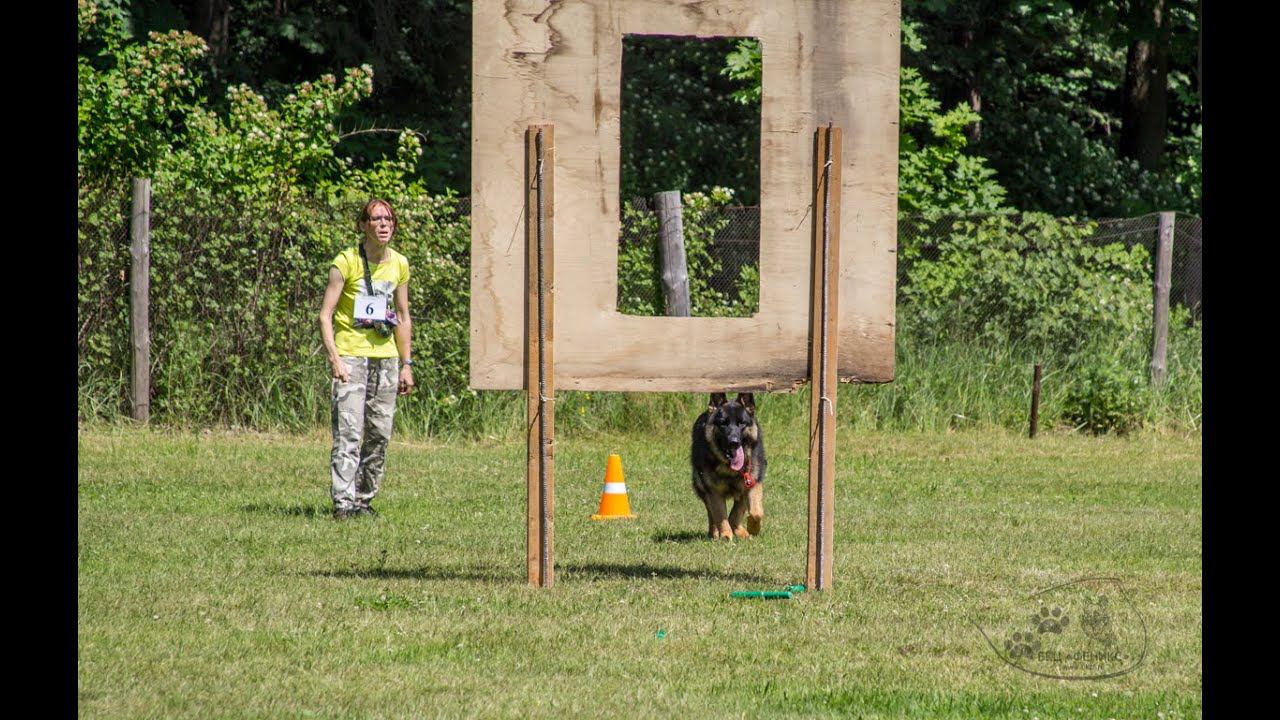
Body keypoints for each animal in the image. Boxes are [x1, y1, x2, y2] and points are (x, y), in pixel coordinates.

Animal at [696, 392, 762, 538]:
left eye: (741, 423)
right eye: (723, 424)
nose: (734, 442)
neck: (730, 469)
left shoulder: (751, 483)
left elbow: (755, 513)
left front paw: (752, 528)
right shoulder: (714, 492)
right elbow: (720, 516)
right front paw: (726, 535)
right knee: (712, 514)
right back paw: (715, 533)